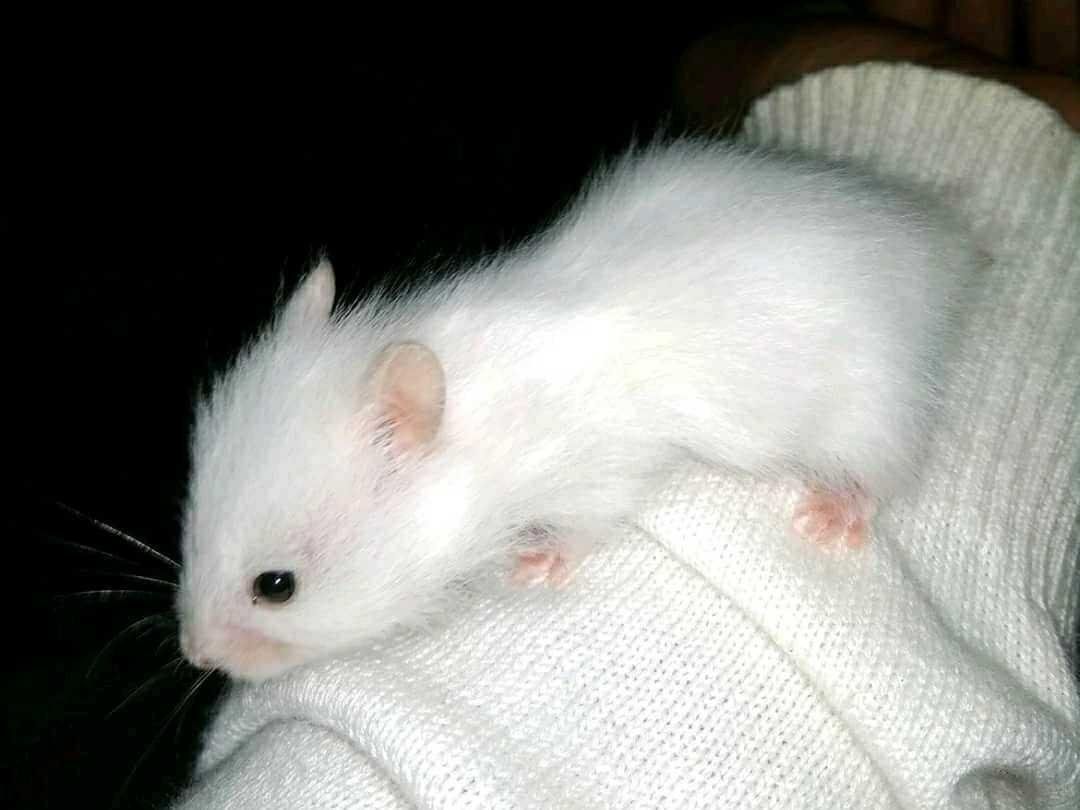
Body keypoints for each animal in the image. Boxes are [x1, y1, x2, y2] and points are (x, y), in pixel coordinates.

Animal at [177, 137, 977, 682]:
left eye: (276, 587)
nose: (194, 654)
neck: (474, 424)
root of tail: (939, 246)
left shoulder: (598, 469)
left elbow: (588, 523)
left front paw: (536, 563)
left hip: (871, 406)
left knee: (885, 470)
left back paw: (832, 514)